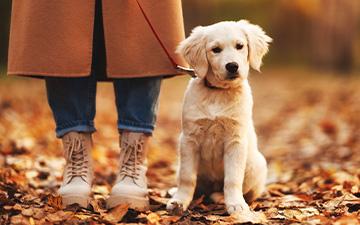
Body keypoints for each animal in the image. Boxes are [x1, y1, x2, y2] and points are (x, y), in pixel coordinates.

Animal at [167, 20, 272, 222]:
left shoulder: (235, 140)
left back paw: (222, 197)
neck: (218, 92)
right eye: (215, 50)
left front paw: (236, 205)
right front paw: (180, 201)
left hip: (257, 164)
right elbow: (187, 177)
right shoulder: (189, 139)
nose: (232, 66)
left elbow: (232, 179)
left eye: (240, 46)